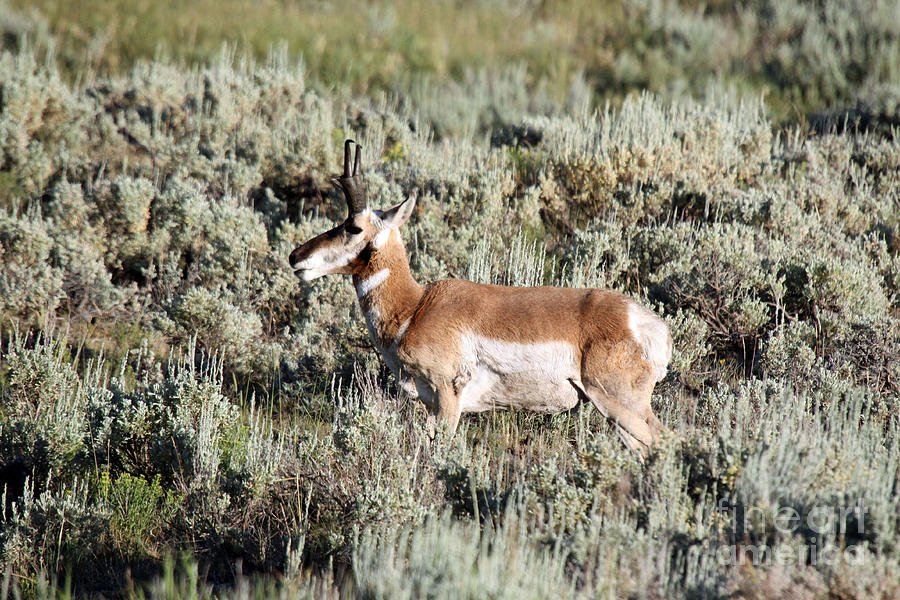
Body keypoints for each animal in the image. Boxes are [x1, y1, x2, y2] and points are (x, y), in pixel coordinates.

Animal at [292, 139, 672, 450]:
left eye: (353, 226)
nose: (296, 256)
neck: (415, 308)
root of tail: (643, 321)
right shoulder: (429, 402)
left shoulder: (448, 394)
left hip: (619, 403)